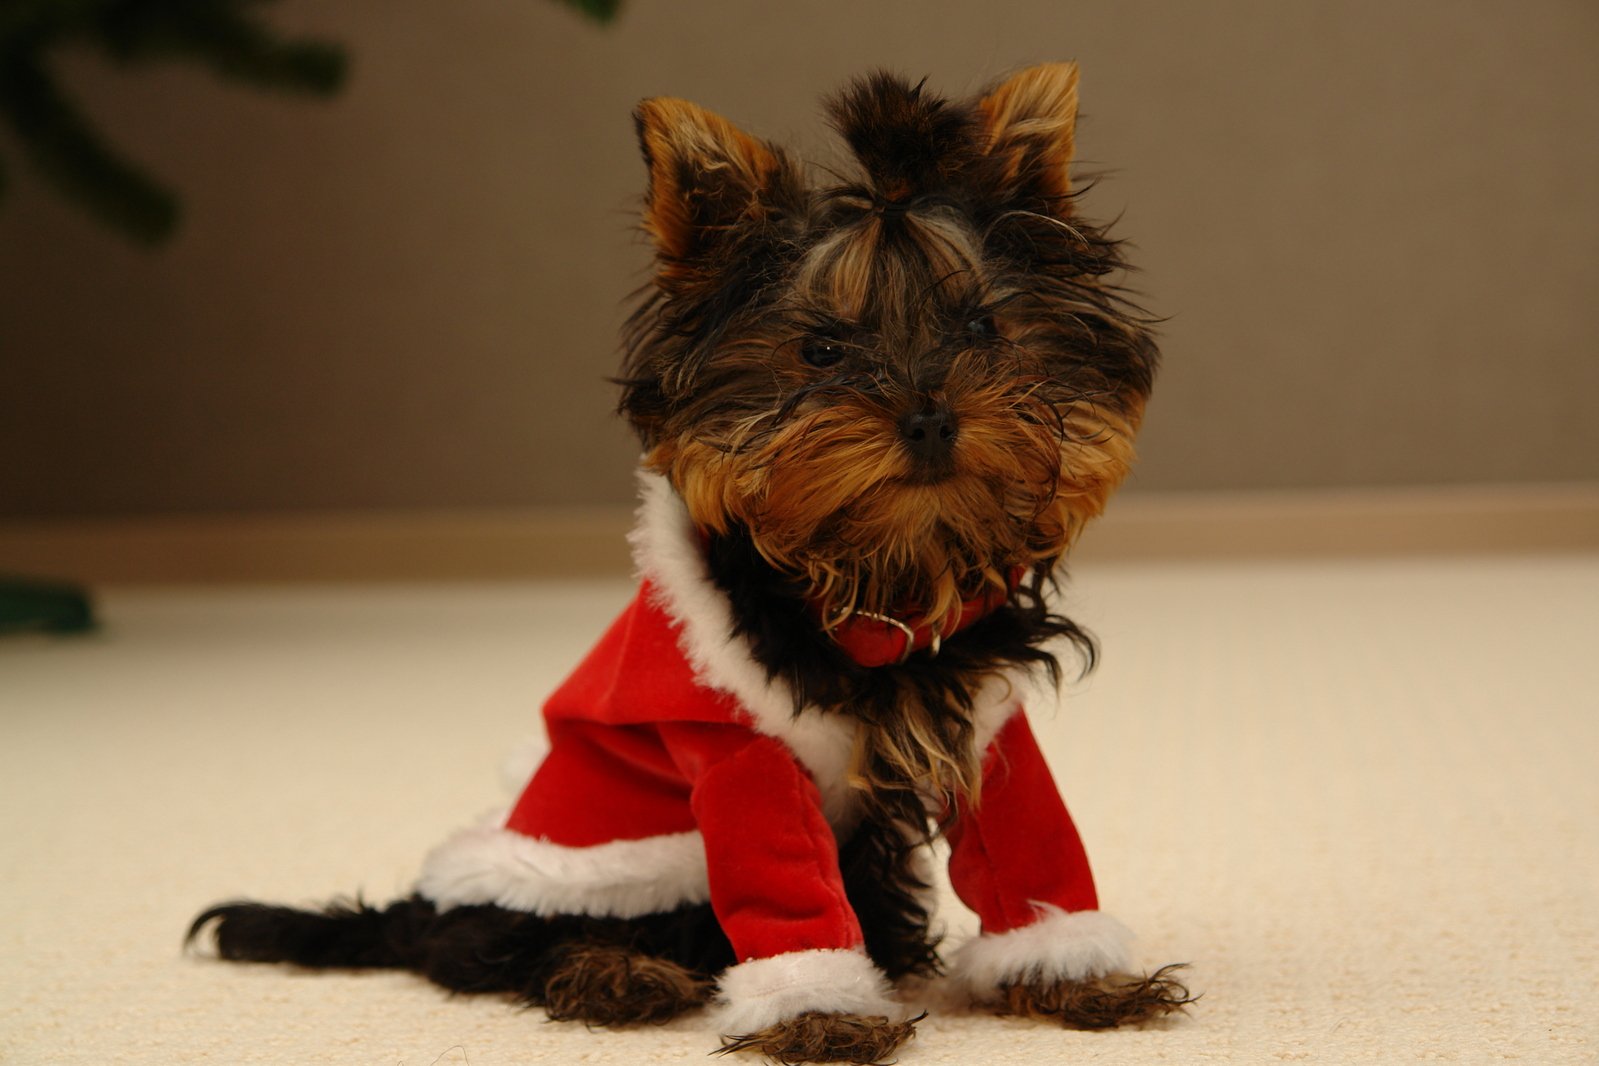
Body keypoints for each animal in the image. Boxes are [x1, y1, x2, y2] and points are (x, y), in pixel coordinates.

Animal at [187, 64, 1189, 1061]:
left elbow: (1033, 857)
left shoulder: (986, 721)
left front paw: (1078, 974)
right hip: (589, 864)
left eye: (981, 328)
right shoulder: (739, 759)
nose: (930, 416)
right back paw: (614, 971)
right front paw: (818, 1011)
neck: (883, 575)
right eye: (820, 348)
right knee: (489, 945)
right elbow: (784, 897)